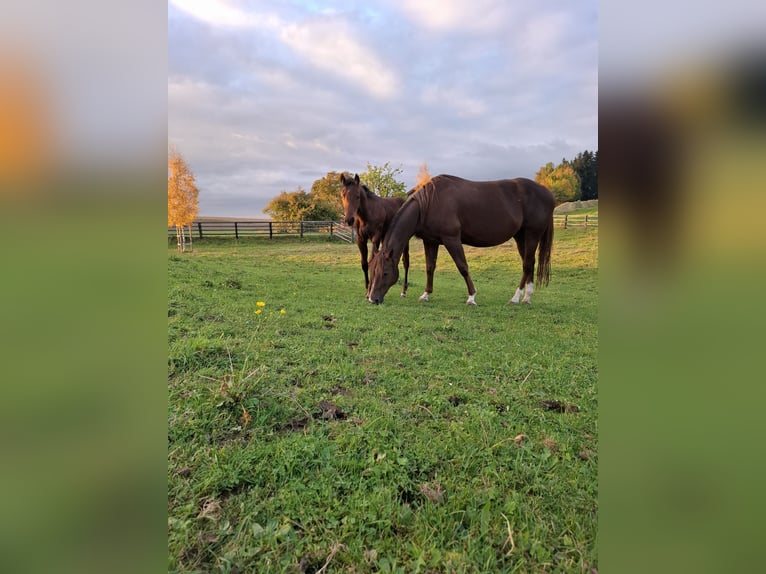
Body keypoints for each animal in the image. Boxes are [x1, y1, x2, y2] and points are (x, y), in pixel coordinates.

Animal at [367, 174, 554, 305]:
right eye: (372, 271)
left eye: (385, 273)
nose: (372, 299)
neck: (429, 203)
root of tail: (547, 193)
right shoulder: (430, 241)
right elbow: (430, 268)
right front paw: (425, 294)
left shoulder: (452, 239)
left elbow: (462, 267)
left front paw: (471, 297)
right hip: (520, 236)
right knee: (529, 264)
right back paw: (526, 297)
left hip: (532, 234)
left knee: (527, 264)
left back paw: (517, 298)